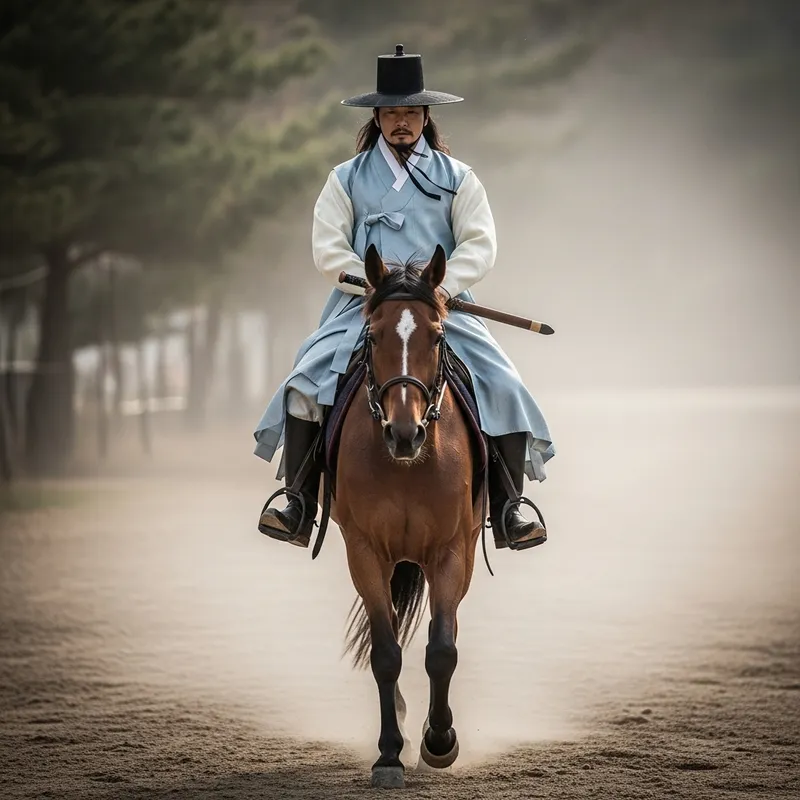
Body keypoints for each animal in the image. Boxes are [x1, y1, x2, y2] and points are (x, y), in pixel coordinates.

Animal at [331, 243, 484, 788]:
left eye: (436, 335)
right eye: (373, 334)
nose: (405, 433)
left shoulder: (451, 551)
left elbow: (441, 650)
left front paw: (439, 741)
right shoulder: (364, 551)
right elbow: (385, 653)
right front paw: (389, 754)